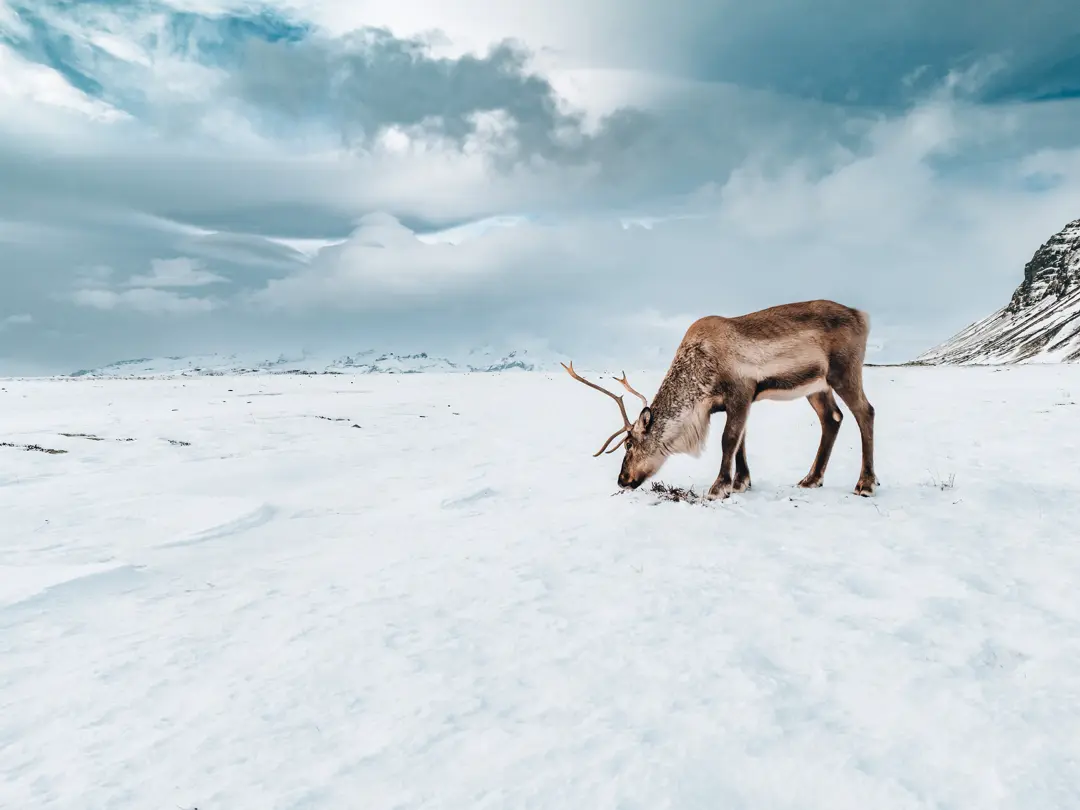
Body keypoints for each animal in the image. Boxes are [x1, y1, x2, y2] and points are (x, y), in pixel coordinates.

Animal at [562, 299, 878, 500]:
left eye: (629, 444)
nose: (622, 480)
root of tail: (862, 315)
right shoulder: (733, 403)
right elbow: (740, 444)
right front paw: (740, 483)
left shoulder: (740, 392)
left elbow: (729, 440)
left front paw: (718, 488)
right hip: (816, 386)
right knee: (832, 418)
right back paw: (811, 479)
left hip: (844, 371)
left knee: (866, 412)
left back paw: (865, 483)